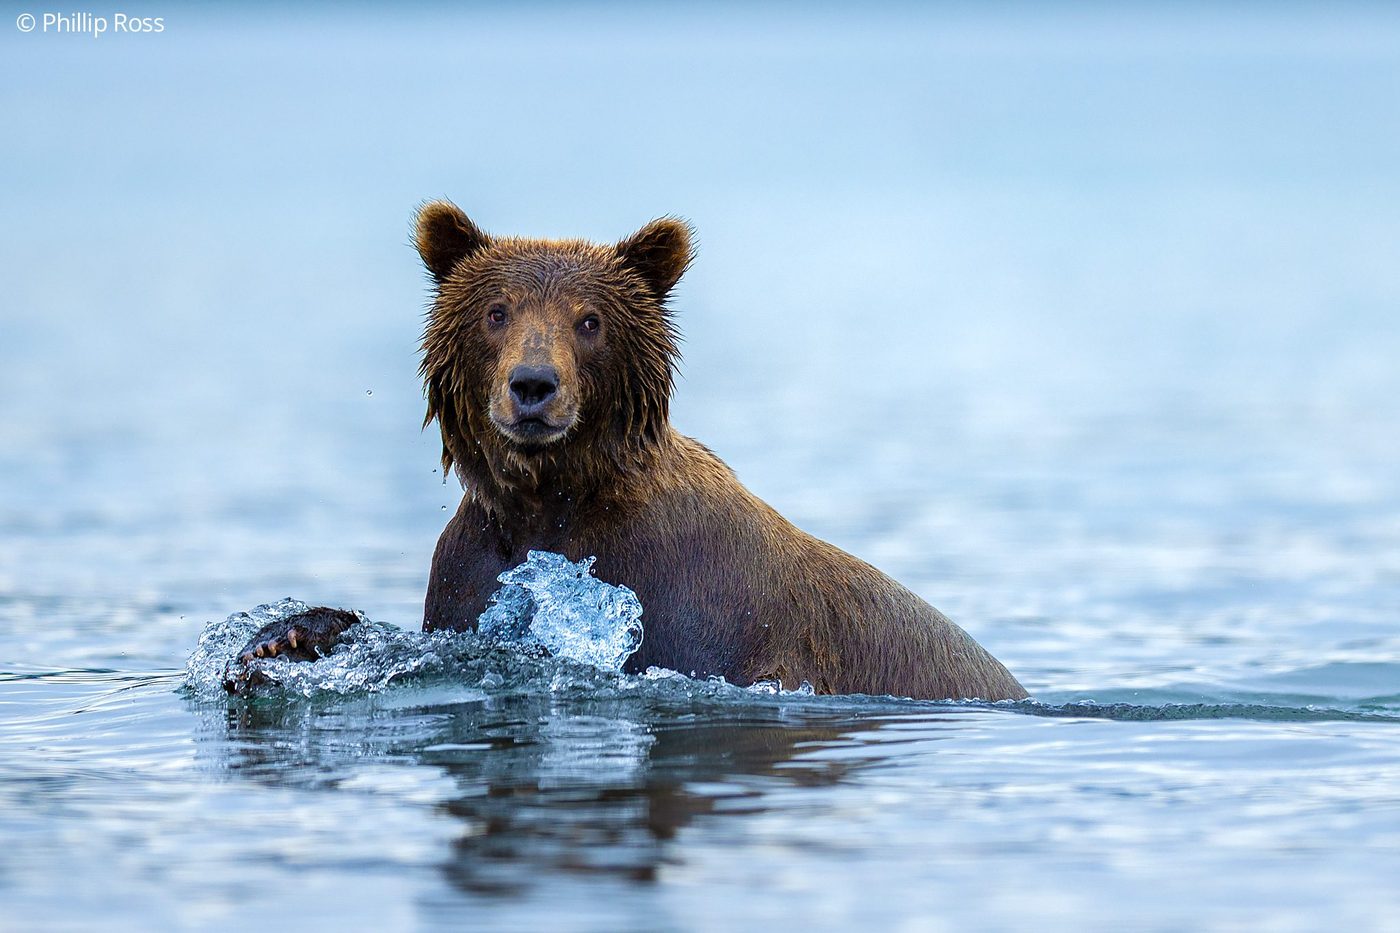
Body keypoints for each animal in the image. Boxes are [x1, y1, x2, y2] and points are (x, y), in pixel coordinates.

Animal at [226, 202, 1027, 702]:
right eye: (496, 312)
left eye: (590, 320)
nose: (533, 385)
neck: (555, 500)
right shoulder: (471, 567)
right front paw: (280, 641)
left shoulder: (690, 591)